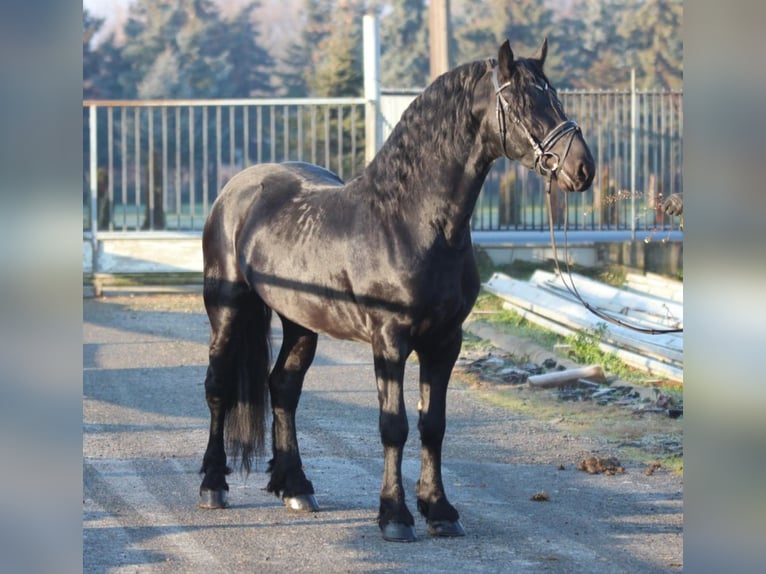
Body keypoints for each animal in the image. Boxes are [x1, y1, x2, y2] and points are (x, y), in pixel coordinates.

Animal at [201, 38, 596, 544]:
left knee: (283, 388)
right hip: (227, 307)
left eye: (556, 97)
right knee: (218, 387)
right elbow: (395, 425)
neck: (411, 222)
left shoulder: (445, 340)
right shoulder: (389, 339)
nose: (583, 168)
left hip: (300, 321)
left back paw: (297, 487)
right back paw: (213, 485)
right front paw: (395, 515)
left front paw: (440, 511)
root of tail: (236, 188)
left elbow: (433, 425)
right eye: (522, 102)